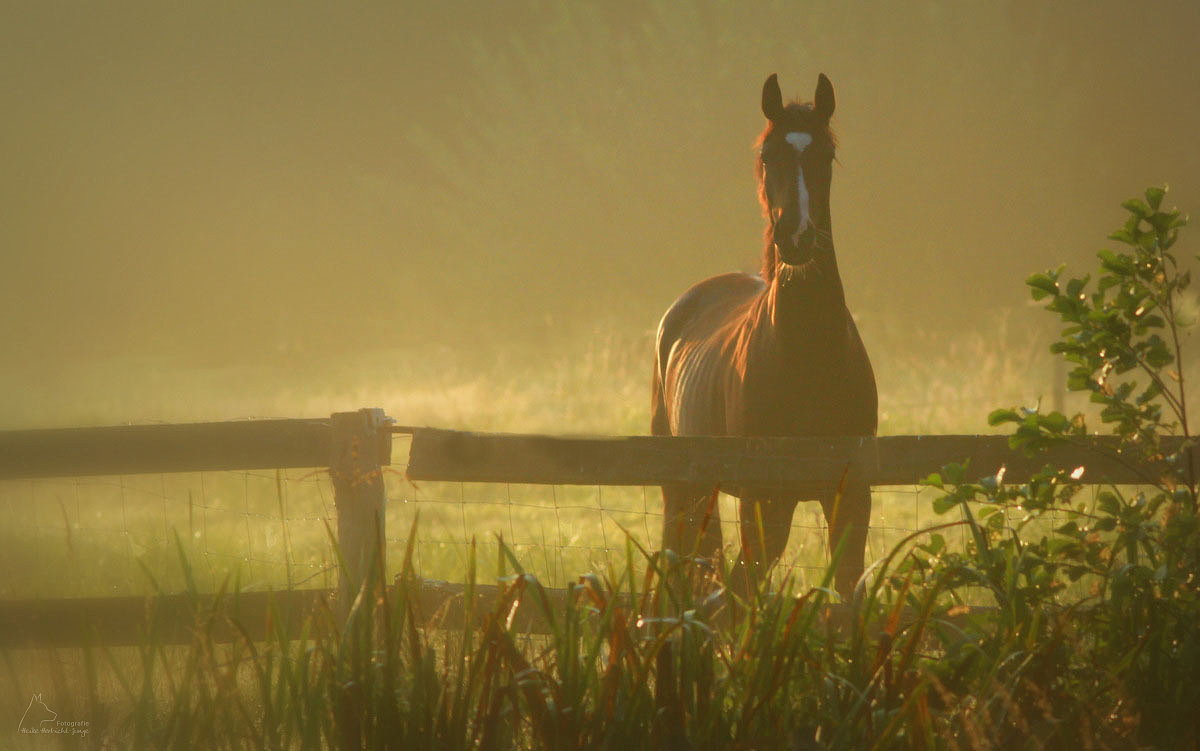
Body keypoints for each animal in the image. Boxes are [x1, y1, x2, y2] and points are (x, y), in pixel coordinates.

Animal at [652, 71, 878, 597]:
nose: (796, 237)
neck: (807, 354)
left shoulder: (852, 494)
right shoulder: (763, 496)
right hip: (684, 488)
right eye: (767, 155)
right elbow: (746, 585)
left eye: (825, 155)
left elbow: (848, 587)